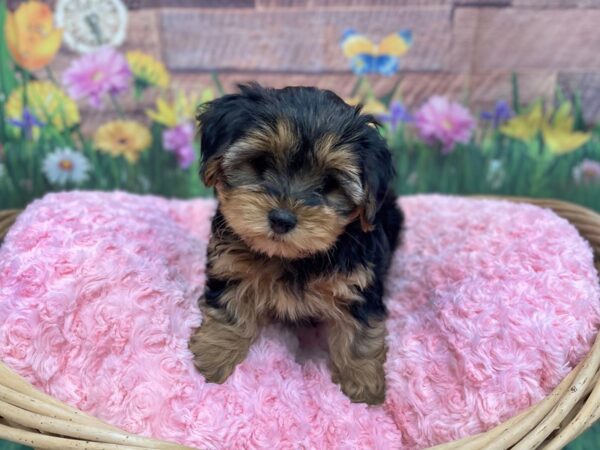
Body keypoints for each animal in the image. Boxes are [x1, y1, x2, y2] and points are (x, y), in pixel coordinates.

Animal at [189, 83, 404, 404]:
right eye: (261, 163)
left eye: (329, 184)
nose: (281, 219)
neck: (292, 257)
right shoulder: (231, 263)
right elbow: (229, 308)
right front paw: (213, 356)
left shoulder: (358, 282)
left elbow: (360, 334)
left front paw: (364, 388)